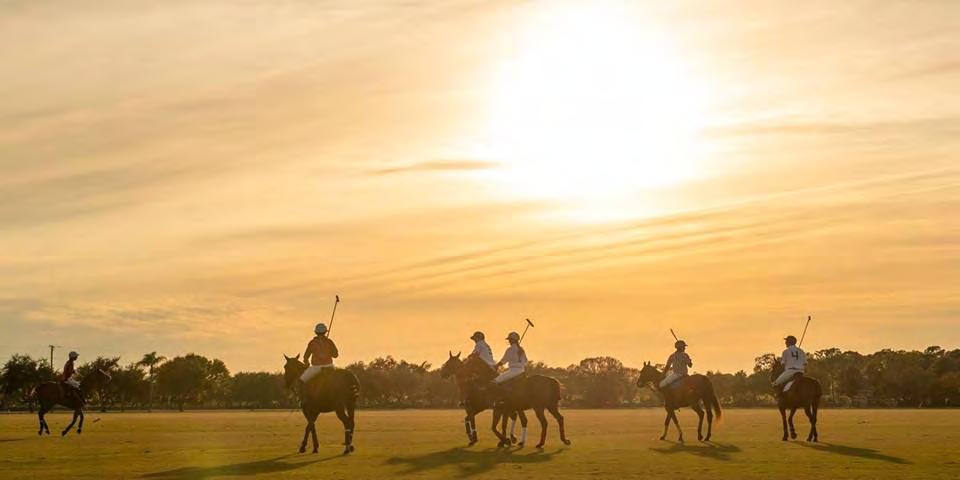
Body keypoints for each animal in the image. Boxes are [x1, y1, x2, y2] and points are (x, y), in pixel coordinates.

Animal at [439, 351, 570, 449]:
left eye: (469, 362)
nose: (442, 374)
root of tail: (552, 380)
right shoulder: (501, 409)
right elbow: (501, 425)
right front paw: (506, 440)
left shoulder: (498, 408)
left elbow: (495, 426)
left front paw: (506, 440)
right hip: (550, 405)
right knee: (559, 418)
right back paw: (564, 440)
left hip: (538, 407)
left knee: (544, 422)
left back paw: (540, 443)